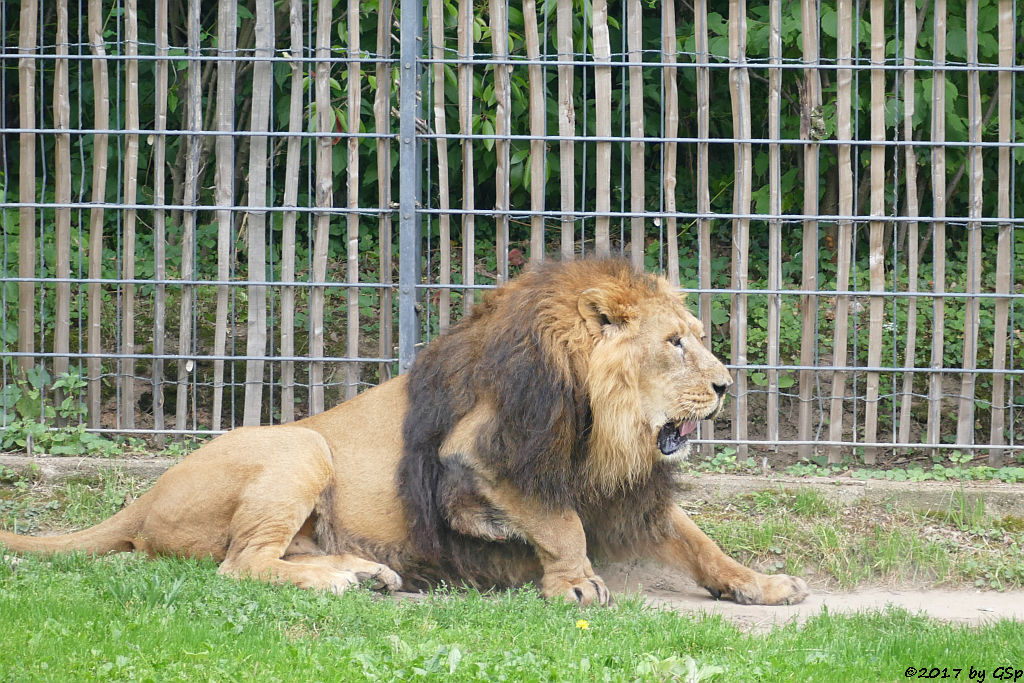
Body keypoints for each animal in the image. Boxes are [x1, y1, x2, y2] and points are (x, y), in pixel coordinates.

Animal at [4, 259, 811, 606]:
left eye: (698, 336)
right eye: (674, 343)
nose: (726, 386)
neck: (604, 421)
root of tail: (142, 500)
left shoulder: (625, 485)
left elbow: (699, 540)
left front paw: (760, 583)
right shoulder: (478, 452)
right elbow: (561, 521)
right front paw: (576, 582)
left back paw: (363, 571)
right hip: (301, 445)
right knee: (240, 564)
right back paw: (344, 579)